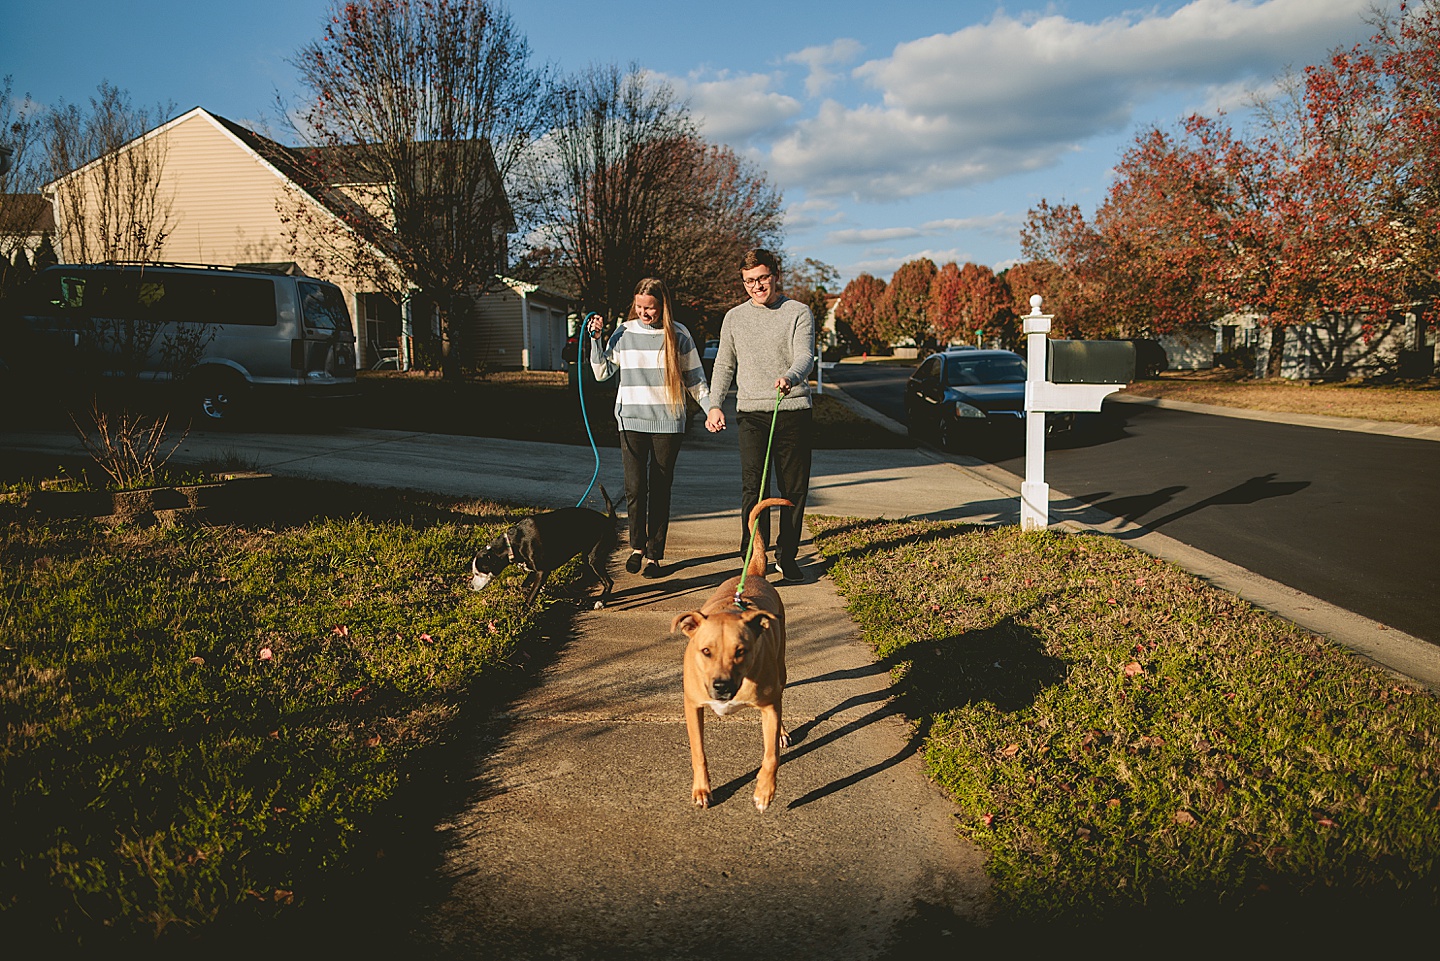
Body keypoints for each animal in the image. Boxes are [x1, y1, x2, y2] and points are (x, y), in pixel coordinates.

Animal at [466, 489, 613, 608]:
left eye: (478, 573)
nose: (471, 586)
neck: (512, 543)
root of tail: (608, 521)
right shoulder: (534, 570)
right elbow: (525, 585)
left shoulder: (542, 571)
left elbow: (531, 595)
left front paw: (524, 609)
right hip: (587, 557)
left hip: (594, 559)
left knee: (609, 582)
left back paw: (601, 602)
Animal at [671, 504, 794, 812]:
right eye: (706, 651)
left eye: (742, 651)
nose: (721, 687)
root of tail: (753, 574)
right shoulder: (693, 706)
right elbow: (698, 751)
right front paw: (702, 789)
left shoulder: (769, 707)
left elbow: (770, 755)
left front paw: (764, 791)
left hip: (781, 668)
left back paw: (782, 733)